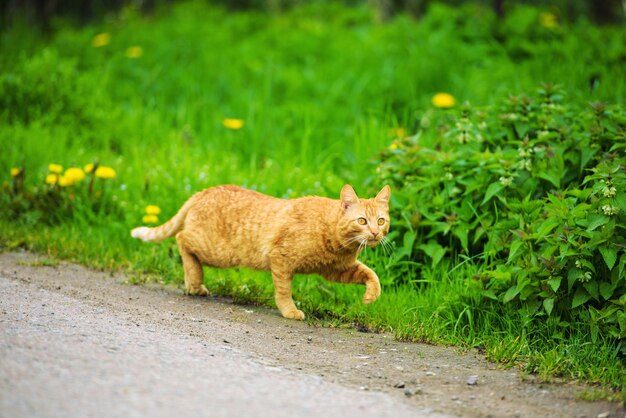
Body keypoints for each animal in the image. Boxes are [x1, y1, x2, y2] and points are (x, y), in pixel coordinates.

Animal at [129, 184, 388, 320]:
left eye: (381, 221)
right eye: (362, 221)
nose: (376, 233)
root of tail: (204, 191)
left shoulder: (337, 270)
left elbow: (371, 275)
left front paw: (371, 296)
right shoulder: (281, 259)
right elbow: (283, 291)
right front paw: (289, 311)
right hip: (217, 251)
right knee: (182, 239)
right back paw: (194, 282)